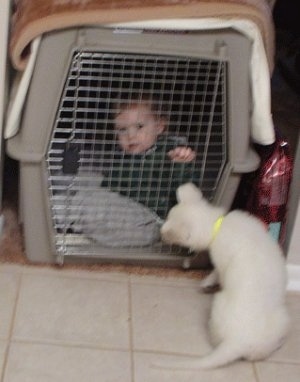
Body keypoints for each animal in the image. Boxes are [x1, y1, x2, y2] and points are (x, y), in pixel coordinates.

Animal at [155, 184, 288, 368]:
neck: (216, 223)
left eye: (168, 234)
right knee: (258, 354)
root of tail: (237, 341)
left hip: (219, 305)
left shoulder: (221, 262)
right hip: (281, 320)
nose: (159, 233)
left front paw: (206, 283)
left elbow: (216, 273)